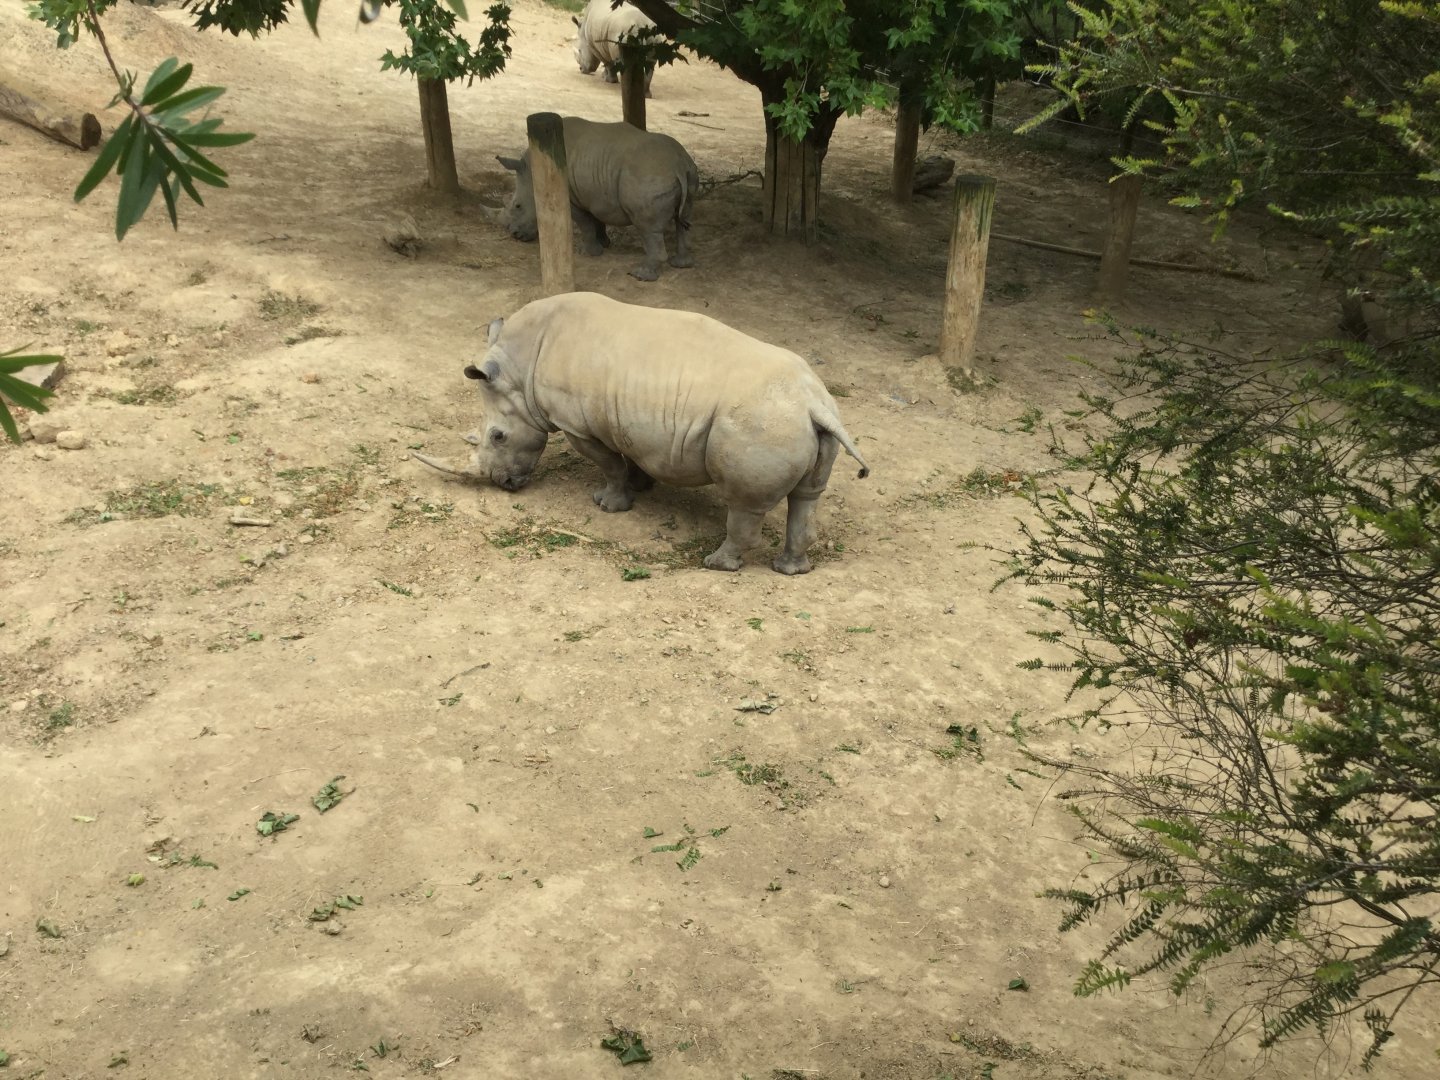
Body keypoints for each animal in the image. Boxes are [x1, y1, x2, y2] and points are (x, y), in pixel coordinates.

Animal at [412, 292, 870, 575]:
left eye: (498, 437)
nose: (503, 485)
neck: (520, 368)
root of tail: (813, 404)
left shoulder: (577, 424)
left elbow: (610, 464)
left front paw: (608, 505)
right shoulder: (624, 417)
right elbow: (630, 454)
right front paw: (642, 486)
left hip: (759, 425)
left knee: (745, 503)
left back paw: (716, 564)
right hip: (807, 420)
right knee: (807, 496)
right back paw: (791, 569)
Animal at [497, 116, 697, 282]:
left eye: (517, 206)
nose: (515, 234)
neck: (535, 173)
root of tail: (679, 163)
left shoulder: (572, 198)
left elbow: (585, 223)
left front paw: (587, 252)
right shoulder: (596, 193)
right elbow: (597, 219)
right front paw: (603, 243)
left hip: (649, 176)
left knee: (647, 227)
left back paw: (640, 275)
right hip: (689, 173)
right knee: (683, 219)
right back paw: (681, 264)